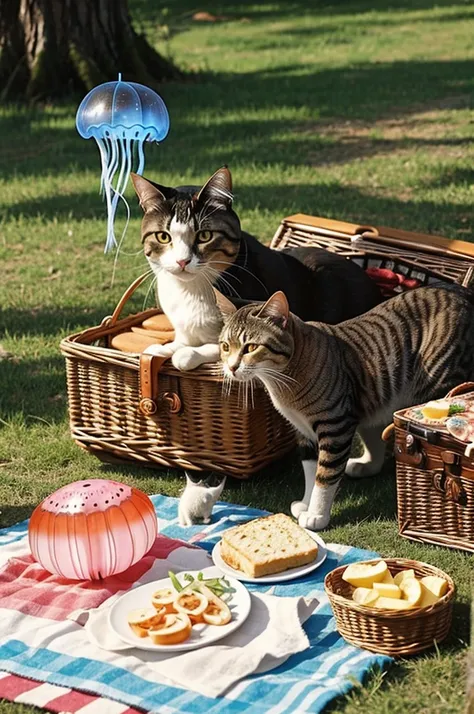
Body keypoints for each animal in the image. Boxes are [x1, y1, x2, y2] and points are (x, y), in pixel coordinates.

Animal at [130, 167, 382, 368]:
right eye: (163, 237)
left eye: (205, 235)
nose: (182, 261)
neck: (191, 289)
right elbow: (178, 342)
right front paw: (160, 348)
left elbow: (210, 348)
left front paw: (186, 354)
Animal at [218, 286, 474, 528]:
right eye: (225, 346)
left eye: (251, 347)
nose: (231, 367)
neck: (286, 384)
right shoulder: (302, 430)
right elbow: (310, 470)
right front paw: (306, 504)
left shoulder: (335, 425)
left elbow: (325, 474)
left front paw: (317, 515)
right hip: (373, 399)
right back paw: (364, 465)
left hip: (433, 380)